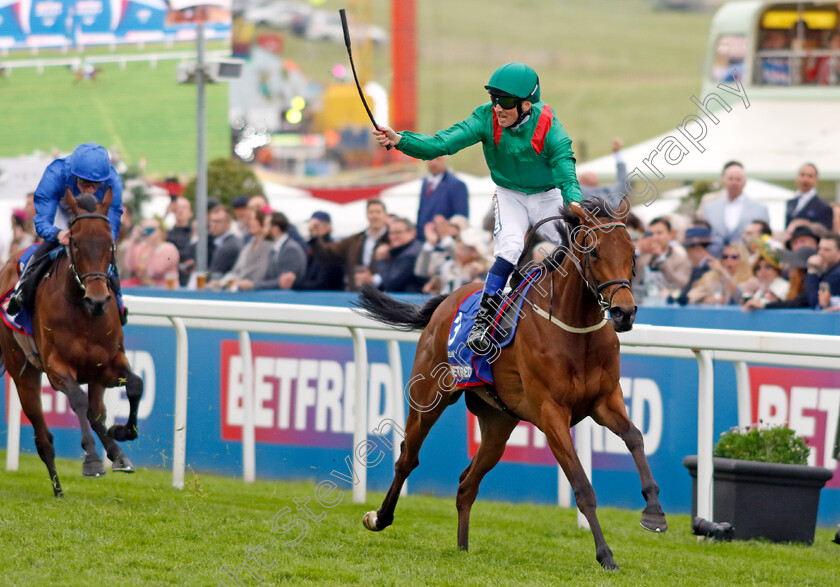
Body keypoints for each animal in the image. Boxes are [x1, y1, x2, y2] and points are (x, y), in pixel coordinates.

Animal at [0, 191, 143, 498]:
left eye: (110, 242)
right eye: (75, 242)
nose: (98, 299)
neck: (83, 312)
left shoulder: (108, 364)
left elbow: (135, 385)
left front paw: (121, 433)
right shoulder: (57, 368)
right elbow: (77, 400)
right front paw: (92, 461)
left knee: (96, 413)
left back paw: (117, 454)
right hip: (24, 373)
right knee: (44, 437)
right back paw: (58, 489)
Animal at [356, 198, 668, 568]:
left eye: (633, 252)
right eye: (593, 252)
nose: (624, 313)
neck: (575, 330)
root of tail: (447, 299)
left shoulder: (605, 401)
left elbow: (635, 437)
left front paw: (654, 513)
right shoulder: (551, 413)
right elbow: (582, 486)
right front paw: (605, 555)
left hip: (498, 423)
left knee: (467, 483)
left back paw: (462, 548)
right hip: (427, 399)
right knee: (407, 458)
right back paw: (379, 517)